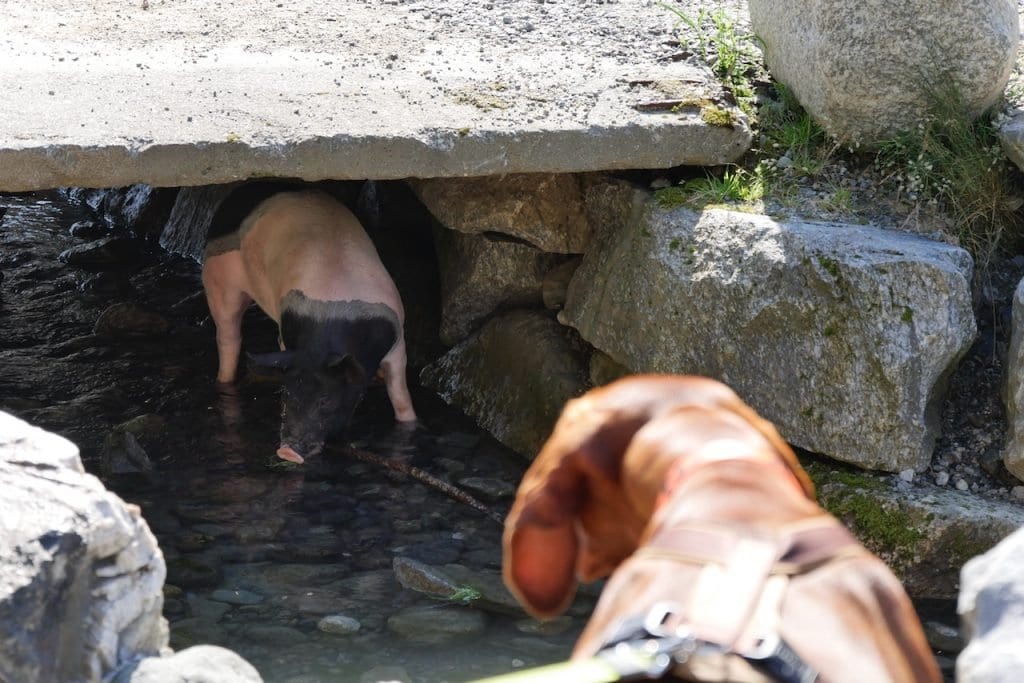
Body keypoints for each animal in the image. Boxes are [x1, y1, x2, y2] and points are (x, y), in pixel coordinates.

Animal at [201, 181, 417, 464]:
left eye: (325, 400)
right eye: (287, 395)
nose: (287, 451)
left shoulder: (397, 340)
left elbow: (400, 393)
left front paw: (410, 423)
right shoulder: (287, 339)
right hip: (218, 279)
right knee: (228, 334)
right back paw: (224, 380)